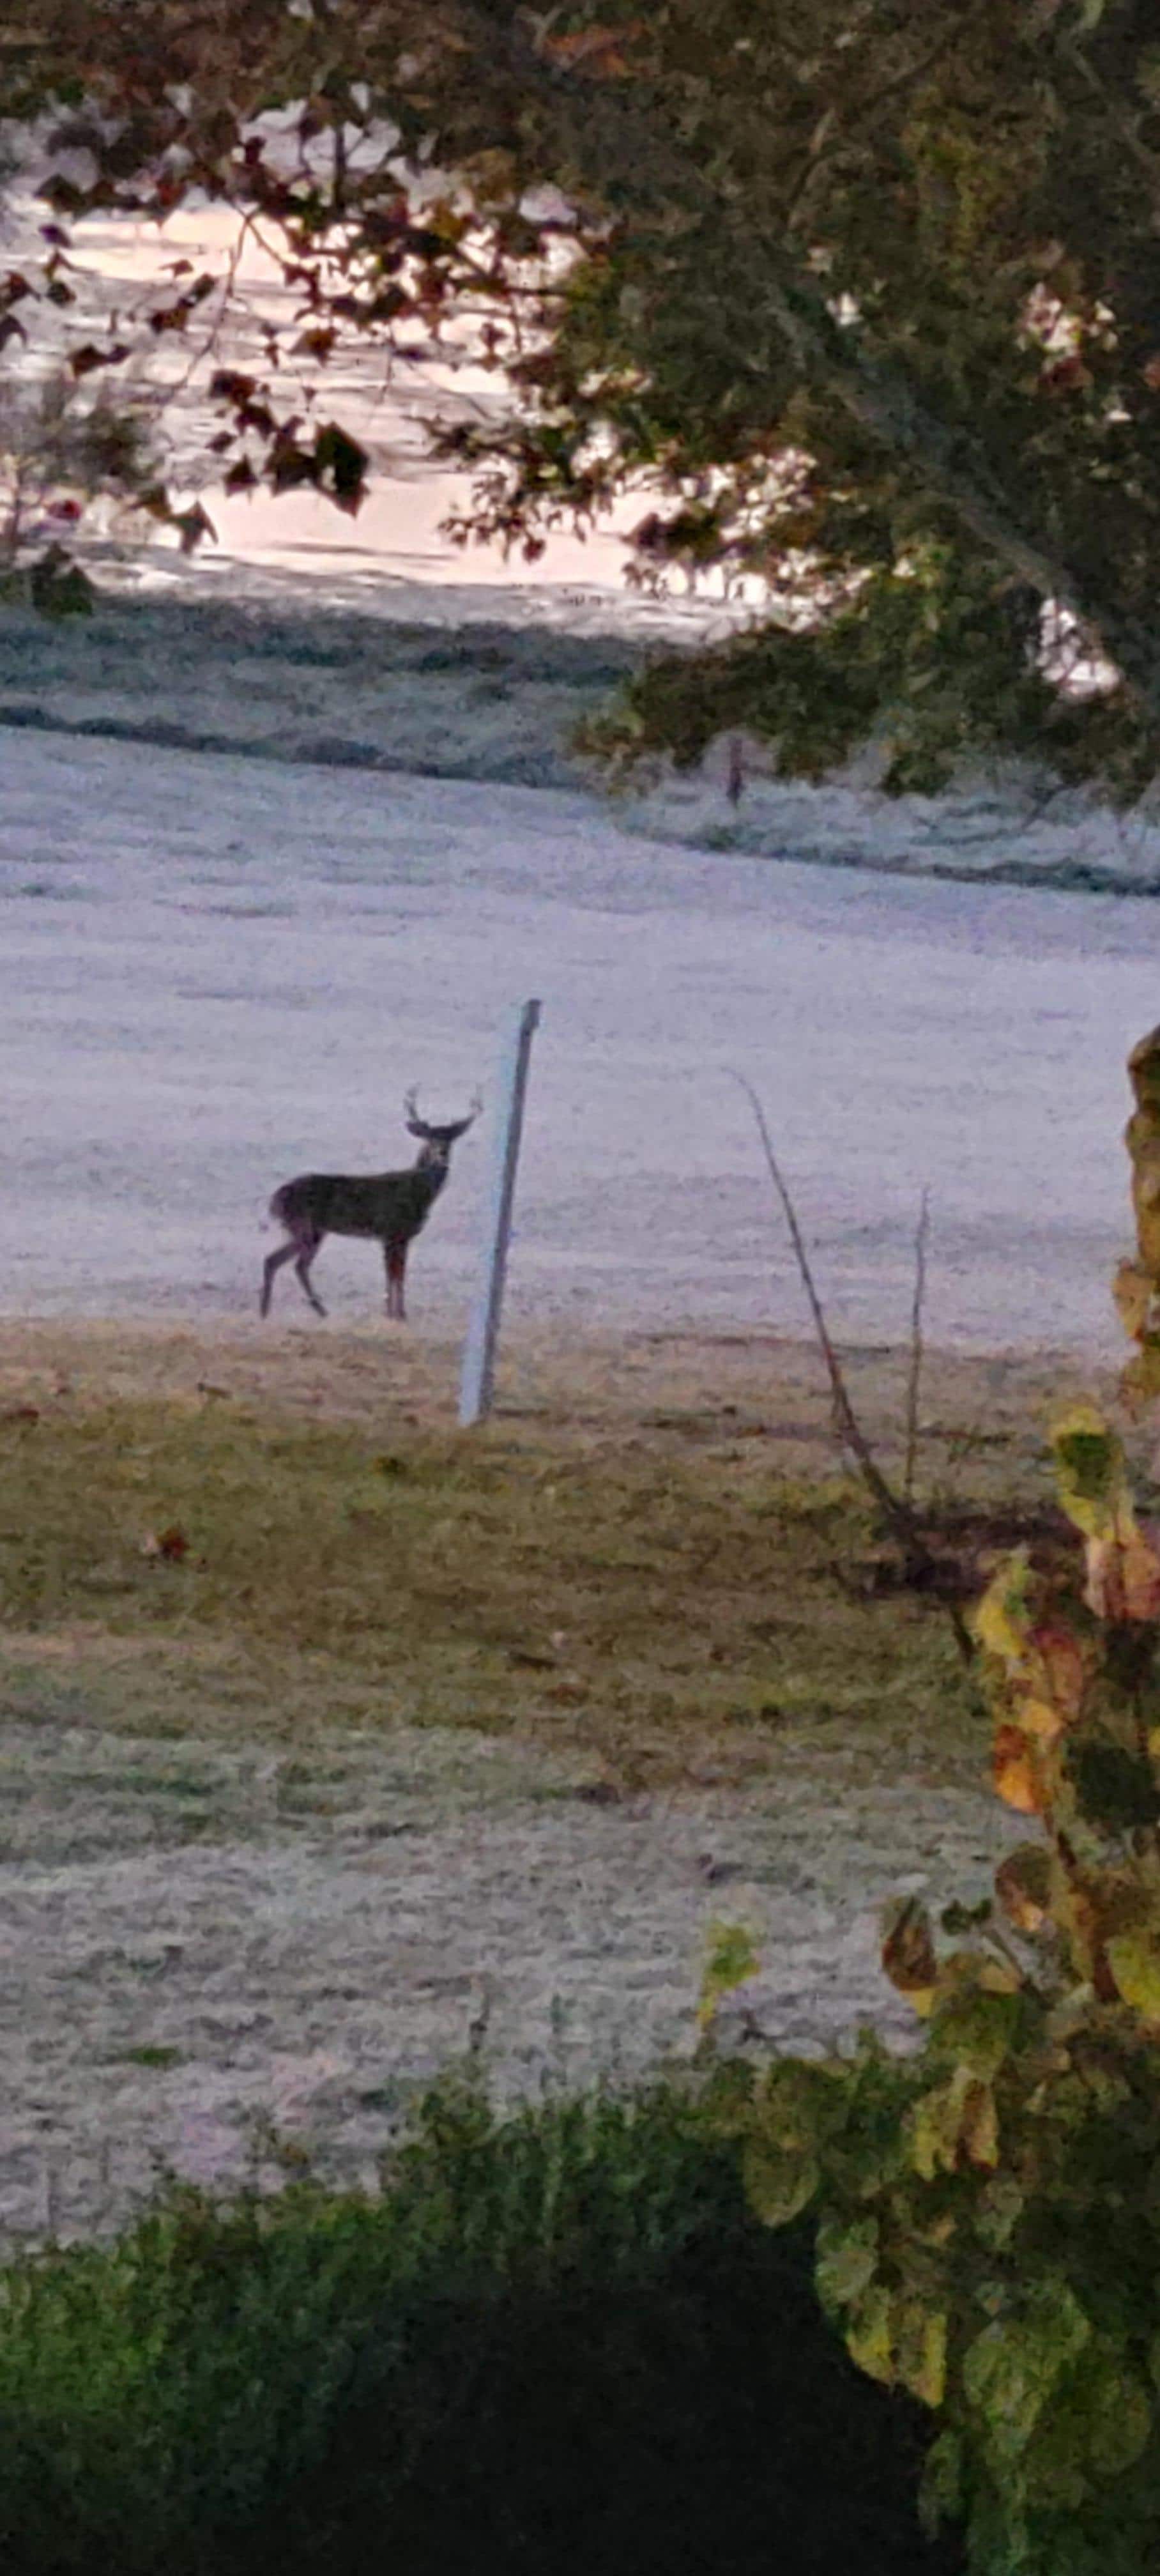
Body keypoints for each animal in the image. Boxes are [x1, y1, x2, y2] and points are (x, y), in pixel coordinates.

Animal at [259, 1089, 481, 1322]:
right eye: (429, 1138)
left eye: (451, 1138)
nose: (442, 1153)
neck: (418, 1192)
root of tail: (277, 1197)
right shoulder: (392, 1232)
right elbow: (395, 1275)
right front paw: (396, 1314)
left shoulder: (398, 1236)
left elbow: (397, 1274)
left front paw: (395, 1313)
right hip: (304, 1227)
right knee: (291, 1263)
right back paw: (303, 1309)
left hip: (308, 1230)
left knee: (280, 1262)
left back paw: (276, 1311)